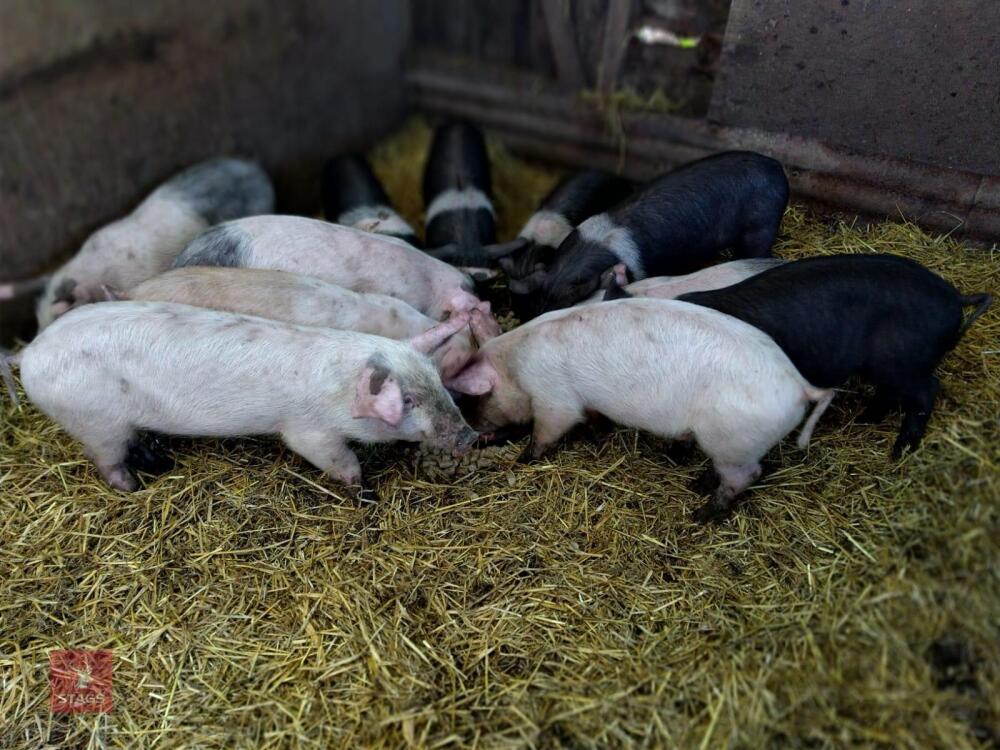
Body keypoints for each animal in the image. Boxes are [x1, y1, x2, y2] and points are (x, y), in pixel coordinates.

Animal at [12, 301, 477, 493]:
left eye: (438, 383)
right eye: (409, 402)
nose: (470, 437)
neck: (339, 385)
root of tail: (29, 352)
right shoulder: (308, 430)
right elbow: (336, 459)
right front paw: (362, 490)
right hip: (95, 420)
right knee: (106, 459)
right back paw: (133, 488)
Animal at [445, 301, 834, 522]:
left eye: (475, 400)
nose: (473, 434)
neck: (515, 366)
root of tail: (800, 384)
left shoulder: (554, 398)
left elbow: (548, 431)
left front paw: (524, 459)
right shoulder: (584, 401)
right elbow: (593, 419)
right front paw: (598, 436)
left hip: (732, 440)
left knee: (747, 475)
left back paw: (700, 515)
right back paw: (696, 485)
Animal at [678, 254, 993, 458]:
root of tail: (955, 297)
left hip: (904, 362)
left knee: (927, 390)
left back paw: (899, 452)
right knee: (892, 393)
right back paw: (866, 419)